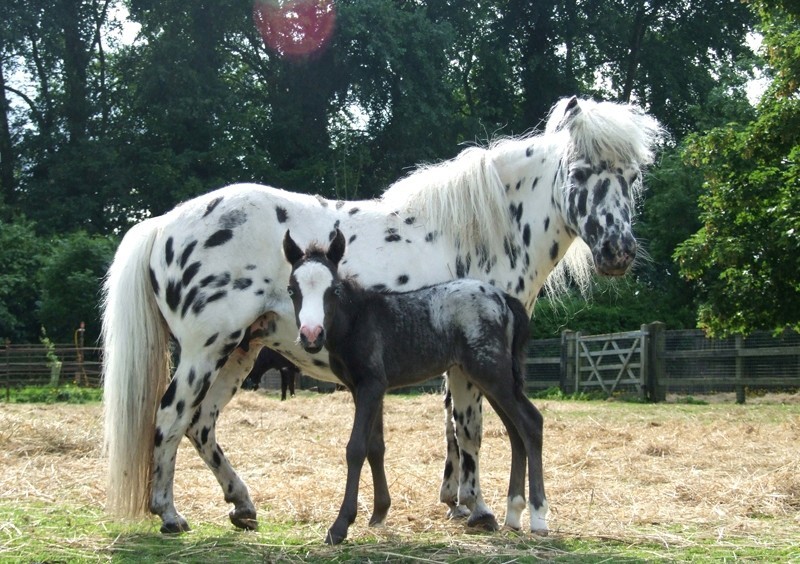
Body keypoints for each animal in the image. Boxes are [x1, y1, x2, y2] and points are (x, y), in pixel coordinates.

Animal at [282, 230, 552, 548]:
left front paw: (340, 526)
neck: (357, 320)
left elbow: (356, 448)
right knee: (515, 431)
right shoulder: (366, 388)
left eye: (333, 290)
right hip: (491, 378)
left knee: (531, 422)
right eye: (291, 290)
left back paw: (538, 516)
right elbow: (376, 446)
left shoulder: (371, 385)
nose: (311, 336)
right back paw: (513, 513)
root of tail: (503, 298)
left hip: (492, 373)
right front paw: (379, 513)